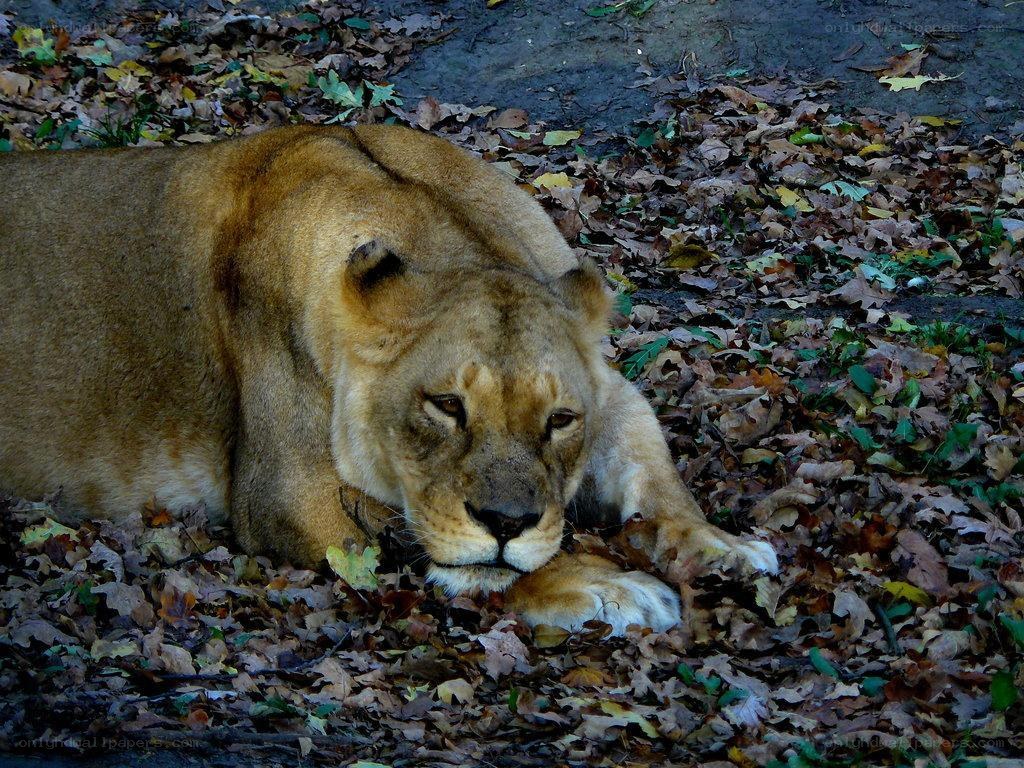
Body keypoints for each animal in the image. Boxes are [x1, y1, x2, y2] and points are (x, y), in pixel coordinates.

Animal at [0, 124, 776, 635]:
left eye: (559, 420)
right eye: (446, 407)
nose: (505, 522)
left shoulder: (609, 388)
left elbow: (653, 467)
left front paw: (720, 545)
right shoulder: (289, 494)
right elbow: (455, 551)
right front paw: (606, 584)